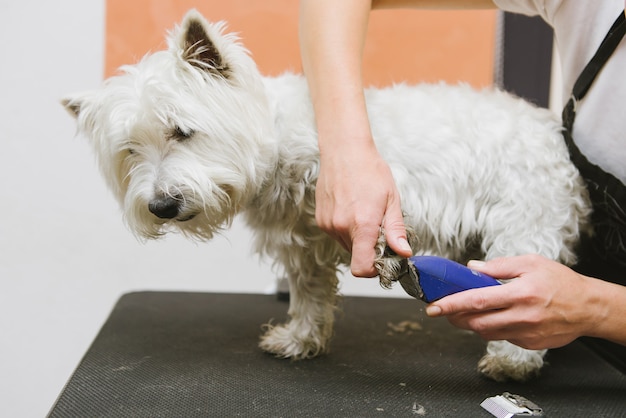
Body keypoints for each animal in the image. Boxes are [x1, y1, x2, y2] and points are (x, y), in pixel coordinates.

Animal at [63, 9, 588, 382]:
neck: (279, 143)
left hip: (524, 224)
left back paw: (512, 359)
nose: (162, 206)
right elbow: (309, 294)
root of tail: (550, 131)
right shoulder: (302, 244)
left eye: (182, 131)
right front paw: (300, 339)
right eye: (129, 150)